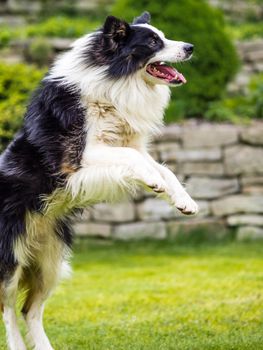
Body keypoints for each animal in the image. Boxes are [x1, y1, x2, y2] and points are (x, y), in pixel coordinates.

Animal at [0, 11, 198, 350]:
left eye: (163, 35)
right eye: (152, 42)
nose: (190, 47)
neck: (116, 81)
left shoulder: (129, 146)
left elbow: (162, 167)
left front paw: (184, 201)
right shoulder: (80, 156)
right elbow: (136, 161)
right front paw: (152, 181)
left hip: (49, 260)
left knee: (31, 309)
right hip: (10, 257)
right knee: (9, 308)